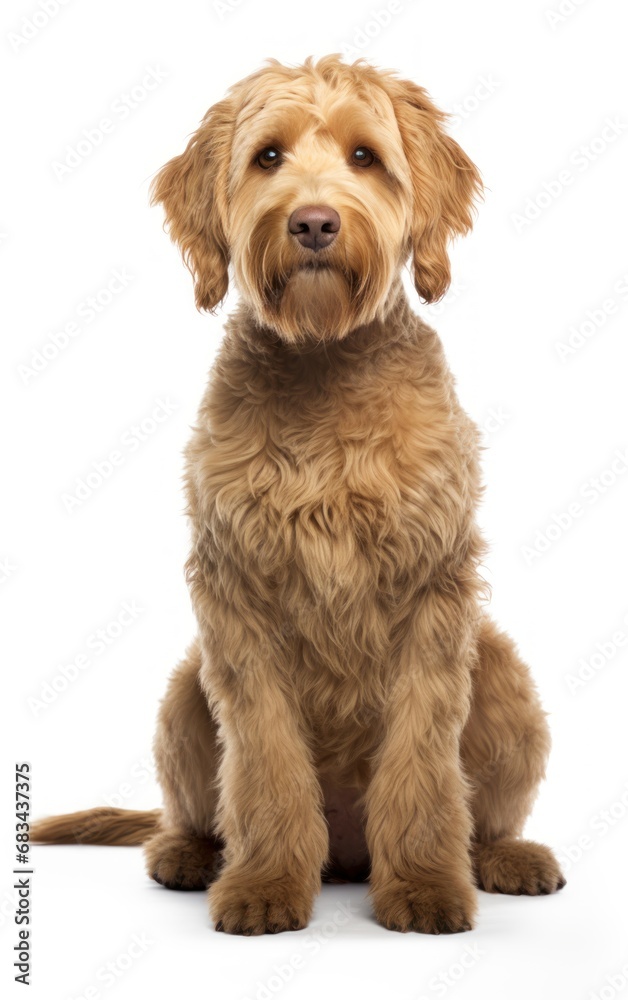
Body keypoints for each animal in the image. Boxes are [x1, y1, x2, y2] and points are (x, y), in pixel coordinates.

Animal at [30, 56, 564, 936]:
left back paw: (504, 857)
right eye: (268, 157)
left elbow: (424, 760)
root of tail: (346, 854)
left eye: (364, 156)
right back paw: (190, 854)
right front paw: (264, 885)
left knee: (482, 811)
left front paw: (425, 883)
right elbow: (266, 762)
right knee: (197, 808)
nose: (314, 224)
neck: (324, 361)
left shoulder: (434, 597)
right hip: (185, 692)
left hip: (502, 672)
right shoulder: (238, 598)